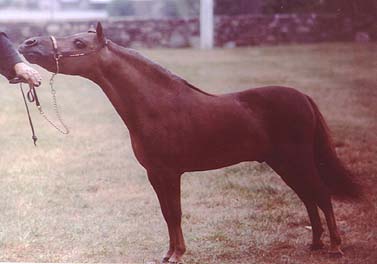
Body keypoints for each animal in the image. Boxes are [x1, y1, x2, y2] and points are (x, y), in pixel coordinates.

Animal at [19, 23, 360, 264]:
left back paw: (334, 248)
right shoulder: (155, 174)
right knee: (308, 198)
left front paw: (177, 254)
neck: (157, 105)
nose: (29, 44)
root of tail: (303, 97)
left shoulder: (170, 173)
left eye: (79, 43)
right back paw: (314, 244)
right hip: (283, 163)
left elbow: (175, 212)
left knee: (322, 195)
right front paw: (169, 253)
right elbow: (166, 213)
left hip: (298, 160)